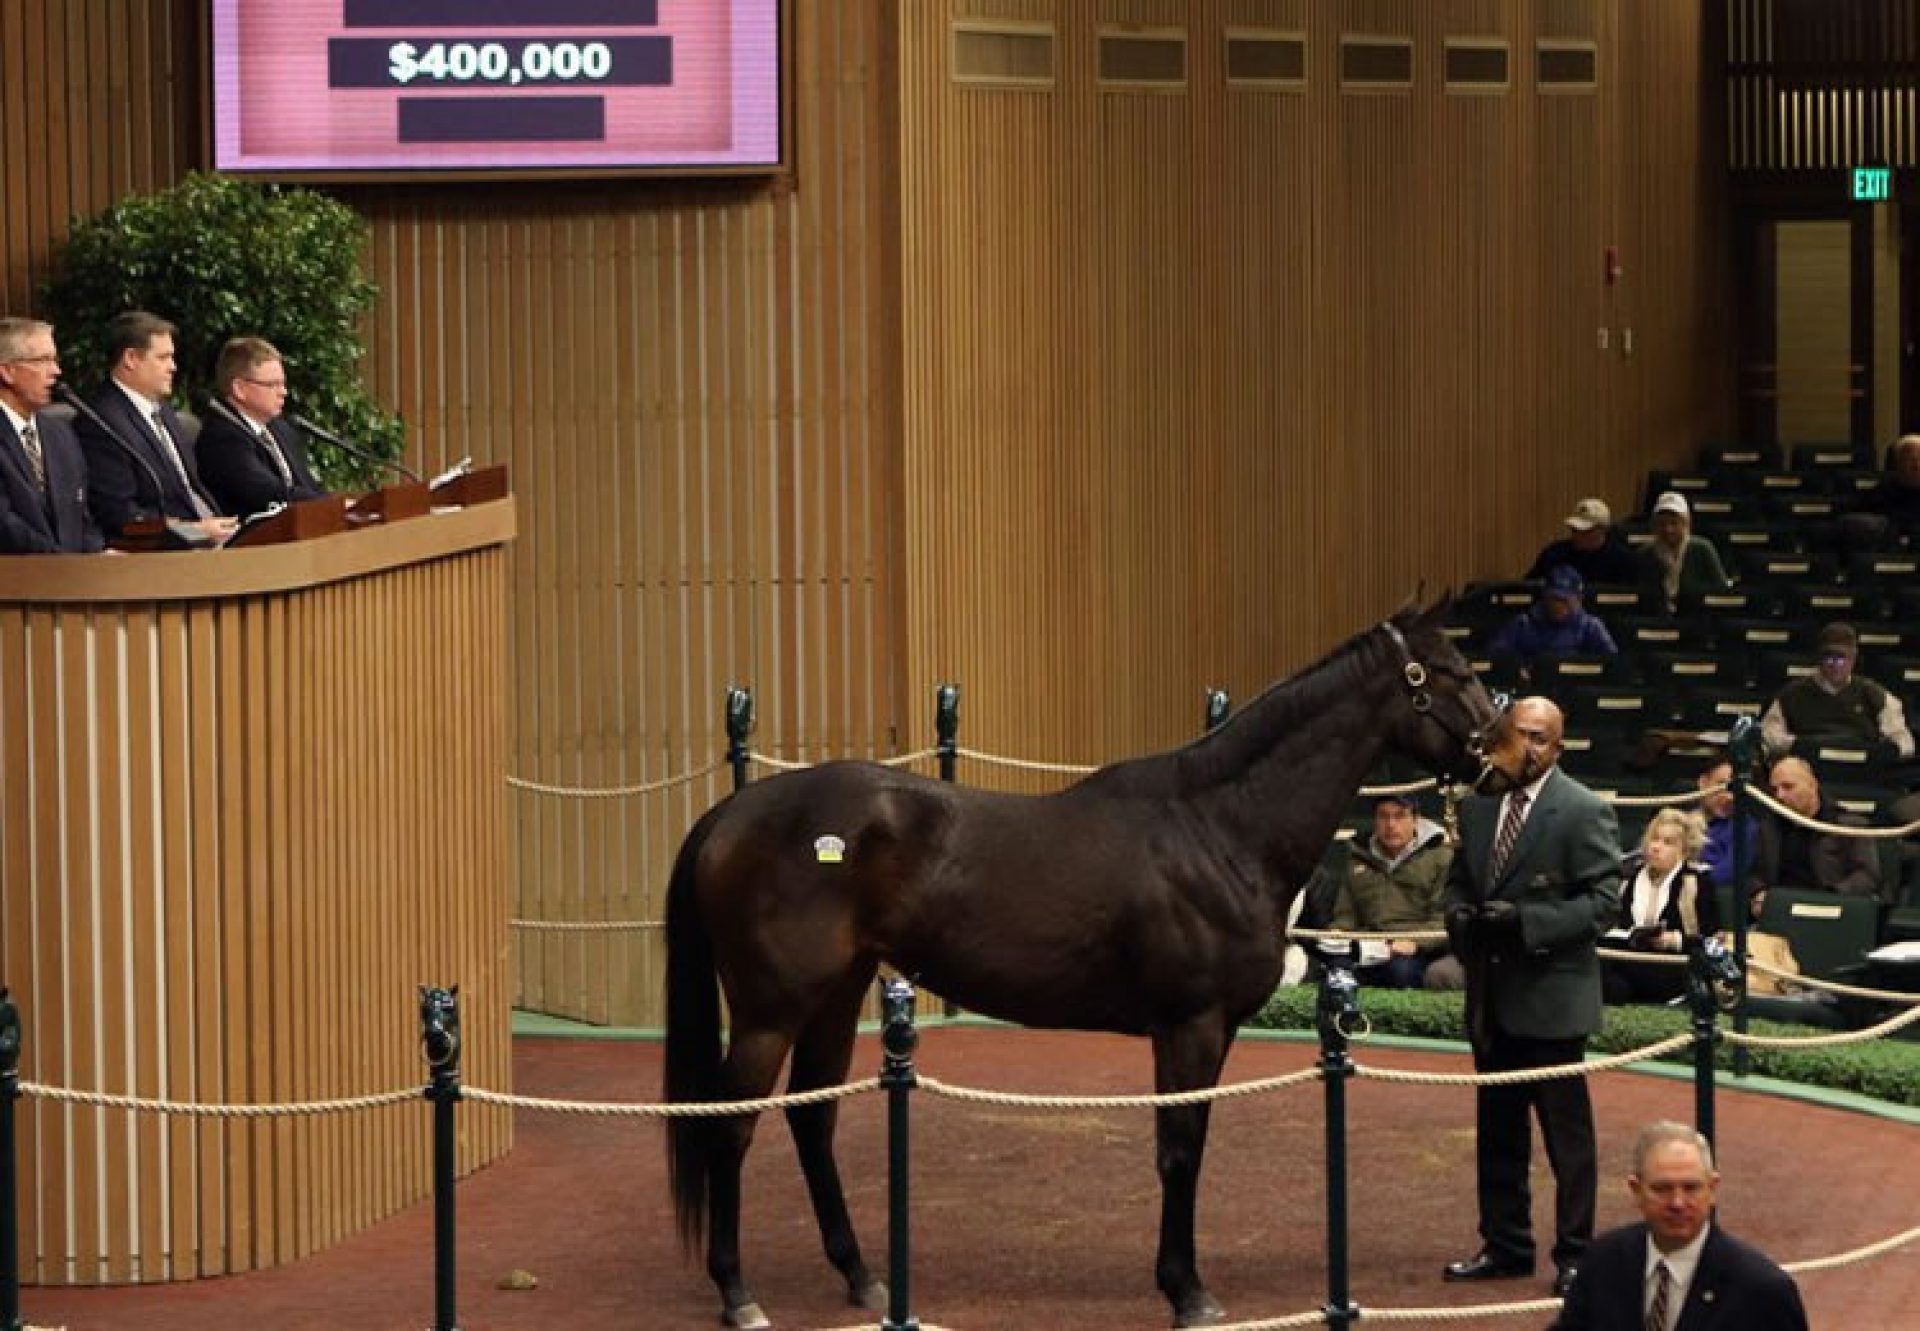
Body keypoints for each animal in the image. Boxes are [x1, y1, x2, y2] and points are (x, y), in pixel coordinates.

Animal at [660, 595, 1512, 1321]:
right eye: (1454, 672)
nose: (1510, 759)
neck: (1219, 827)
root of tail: (733, 810)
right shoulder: (1190, 1024)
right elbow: (1180, 1149)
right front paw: (1187, 1291)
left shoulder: (1212, 1029)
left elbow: (1189, 1145)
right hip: (769, 1012)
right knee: (729, 1127)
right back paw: (737, 1292)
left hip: (836, 995)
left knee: (814, 1117)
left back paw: (862, 1276)